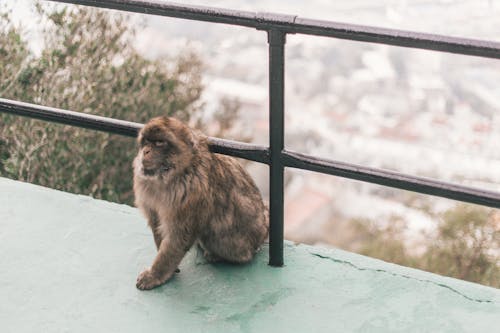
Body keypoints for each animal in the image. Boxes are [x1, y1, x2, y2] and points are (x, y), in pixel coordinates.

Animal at [132, 116, 266, 288]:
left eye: (159, 143)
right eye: (146, 141)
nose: (145, 151)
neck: (172, 175)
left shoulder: (190, 193)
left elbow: (180, 235)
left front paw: (156, 274)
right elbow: (156, 222)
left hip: (238, 245)